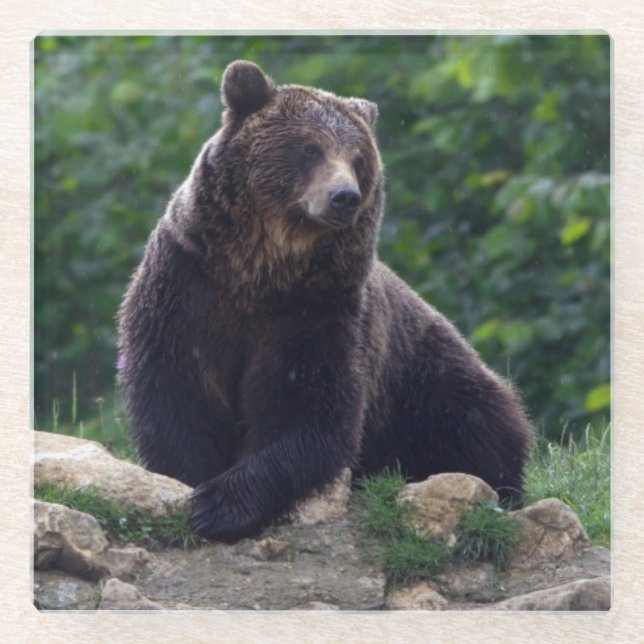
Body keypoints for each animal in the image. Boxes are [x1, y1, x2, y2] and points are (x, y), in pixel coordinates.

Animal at [118, 60, 534, 543]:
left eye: (358, 158)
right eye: (310, 148)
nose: (344, 196)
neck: (260, 271)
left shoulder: (318, 310)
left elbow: (312, 410)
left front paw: (220, 504)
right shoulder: (187, 289)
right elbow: (176, 394)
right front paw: (191, 484)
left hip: (426, 377)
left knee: (482, 423)